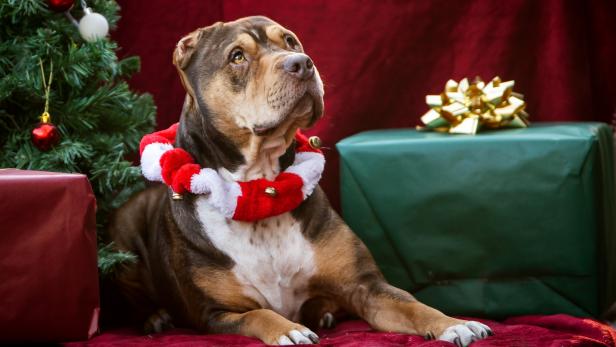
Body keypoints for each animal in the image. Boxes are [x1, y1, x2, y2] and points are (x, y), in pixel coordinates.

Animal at [110, 15, 494, 346]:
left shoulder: (366, 287)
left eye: (290, 40)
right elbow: (259, 315)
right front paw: (288, 330)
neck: (261, 187)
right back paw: (154, 318)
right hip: (124, 232)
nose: (301, 63)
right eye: (237, 56)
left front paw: (454, 323)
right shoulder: (217, 314)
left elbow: (413, 306)